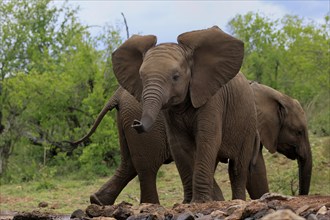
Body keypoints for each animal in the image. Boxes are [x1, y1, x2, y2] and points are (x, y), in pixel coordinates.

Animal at [112, 26, 260, 203]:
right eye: (141, 77)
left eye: (176, 77)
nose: (136, 123)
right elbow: (179, 144)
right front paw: (189, 202)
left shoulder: (212, 98)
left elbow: (207, 138)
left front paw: (201, 202)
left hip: (248, 122)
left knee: (238, 168)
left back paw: (237, 201)